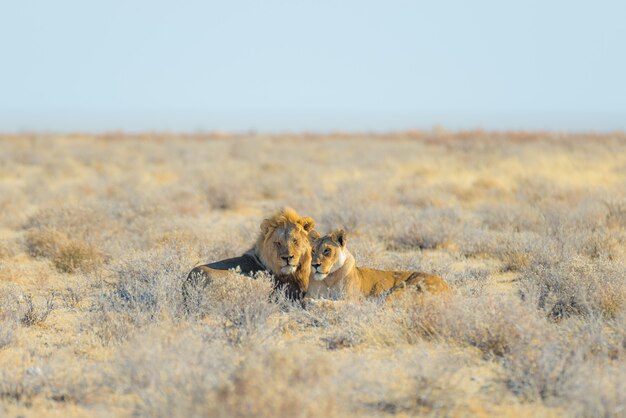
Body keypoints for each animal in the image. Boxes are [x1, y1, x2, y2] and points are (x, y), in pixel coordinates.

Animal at [304, 229, 446, 300]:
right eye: (313, 251)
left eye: (327, 250)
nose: (315, 265)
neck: (329, 278)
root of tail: (448, 288)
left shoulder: (352, 300)